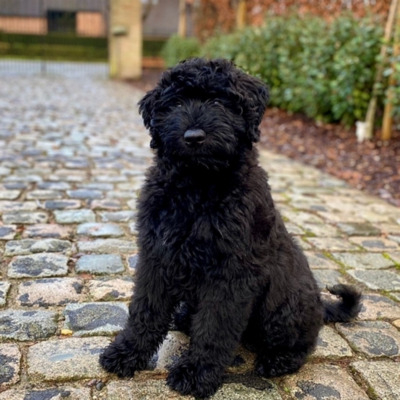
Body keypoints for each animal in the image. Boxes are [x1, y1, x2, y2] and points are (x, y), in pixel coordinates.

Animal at [99, 57, 360, 398]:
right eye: (176, 103)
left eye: (218, 102)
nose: (193, 136)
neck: (197, 188)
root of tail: (319, 306)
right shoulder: (156, 256)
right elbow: (146, 311)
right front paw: (126, 353)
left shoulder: (230, 274)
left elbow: (214, 327)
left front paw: (196, 373)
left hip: (283, 309)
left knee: (303, 344)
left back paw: (277, 361)